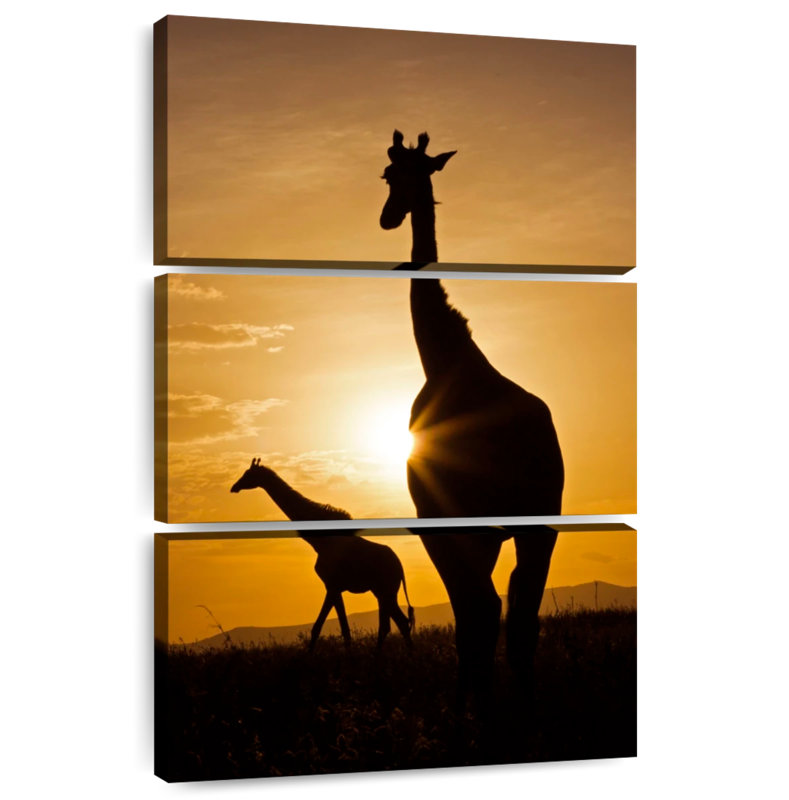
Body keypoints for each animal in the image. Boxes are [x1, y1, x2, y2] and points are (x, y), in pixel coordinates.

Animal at [230, 458, 414, 650]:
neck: (319, 541)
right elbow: (343, 629)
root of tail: (400, 567)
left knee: (397, 623)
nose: (234, 487)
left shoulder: (332, 585)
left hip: (386, 590)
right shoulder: (335, 587)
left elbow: (320, 628)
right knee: (397, 623)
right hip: (382, 591)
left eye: (248, 474)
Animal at [379, 130, 565, 702]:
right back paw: (523, 700)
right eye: (389, 175)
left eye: (411, 175)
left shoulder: (440, 520)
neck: (446, 357)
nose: (388, 217)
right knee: (520, 612)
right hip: (539, 520)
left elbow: (471, 615)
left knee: (485, 609)